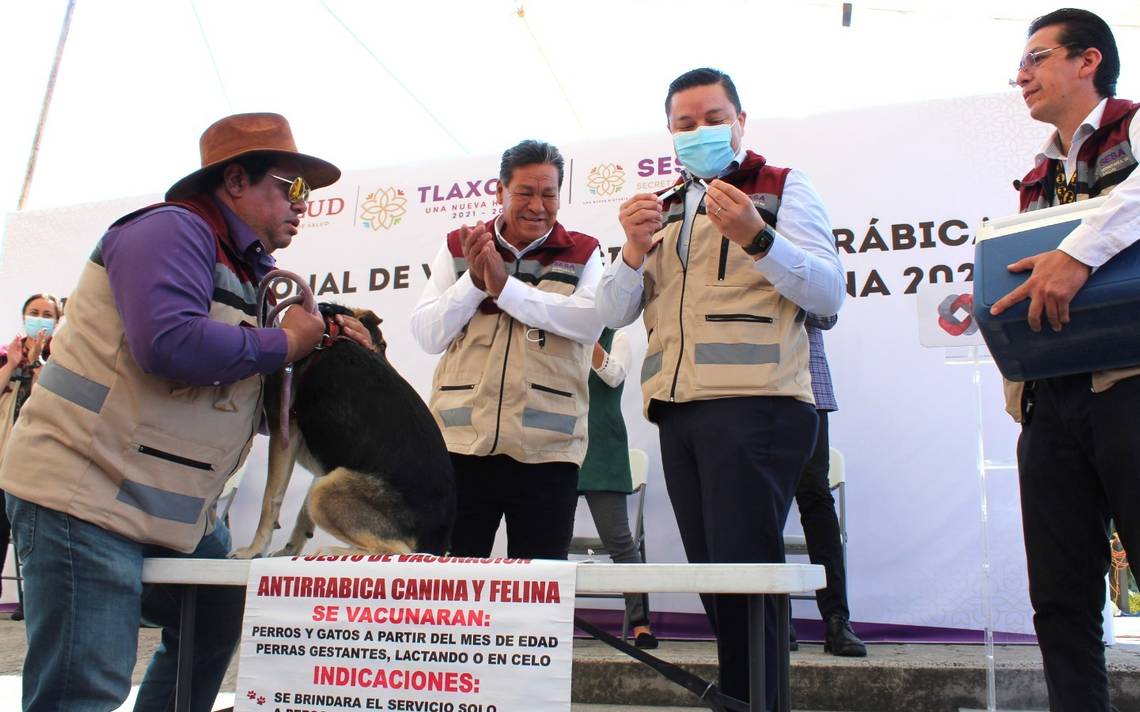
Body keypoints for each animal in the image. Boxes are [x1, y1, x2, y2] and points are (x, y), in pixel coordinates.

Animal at [229, 303, 456, 558]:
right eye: (382, 346)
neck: (331, 330)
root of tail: (438, 540)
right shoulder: (327, 458)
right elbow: (302, 516)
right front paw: (289, 550)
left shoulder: (283, 430)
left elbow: (270, 501)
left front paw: (253, 550)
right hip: (328, 480)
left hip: (324, 491)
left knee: (400, 551)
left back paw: (329, 551)